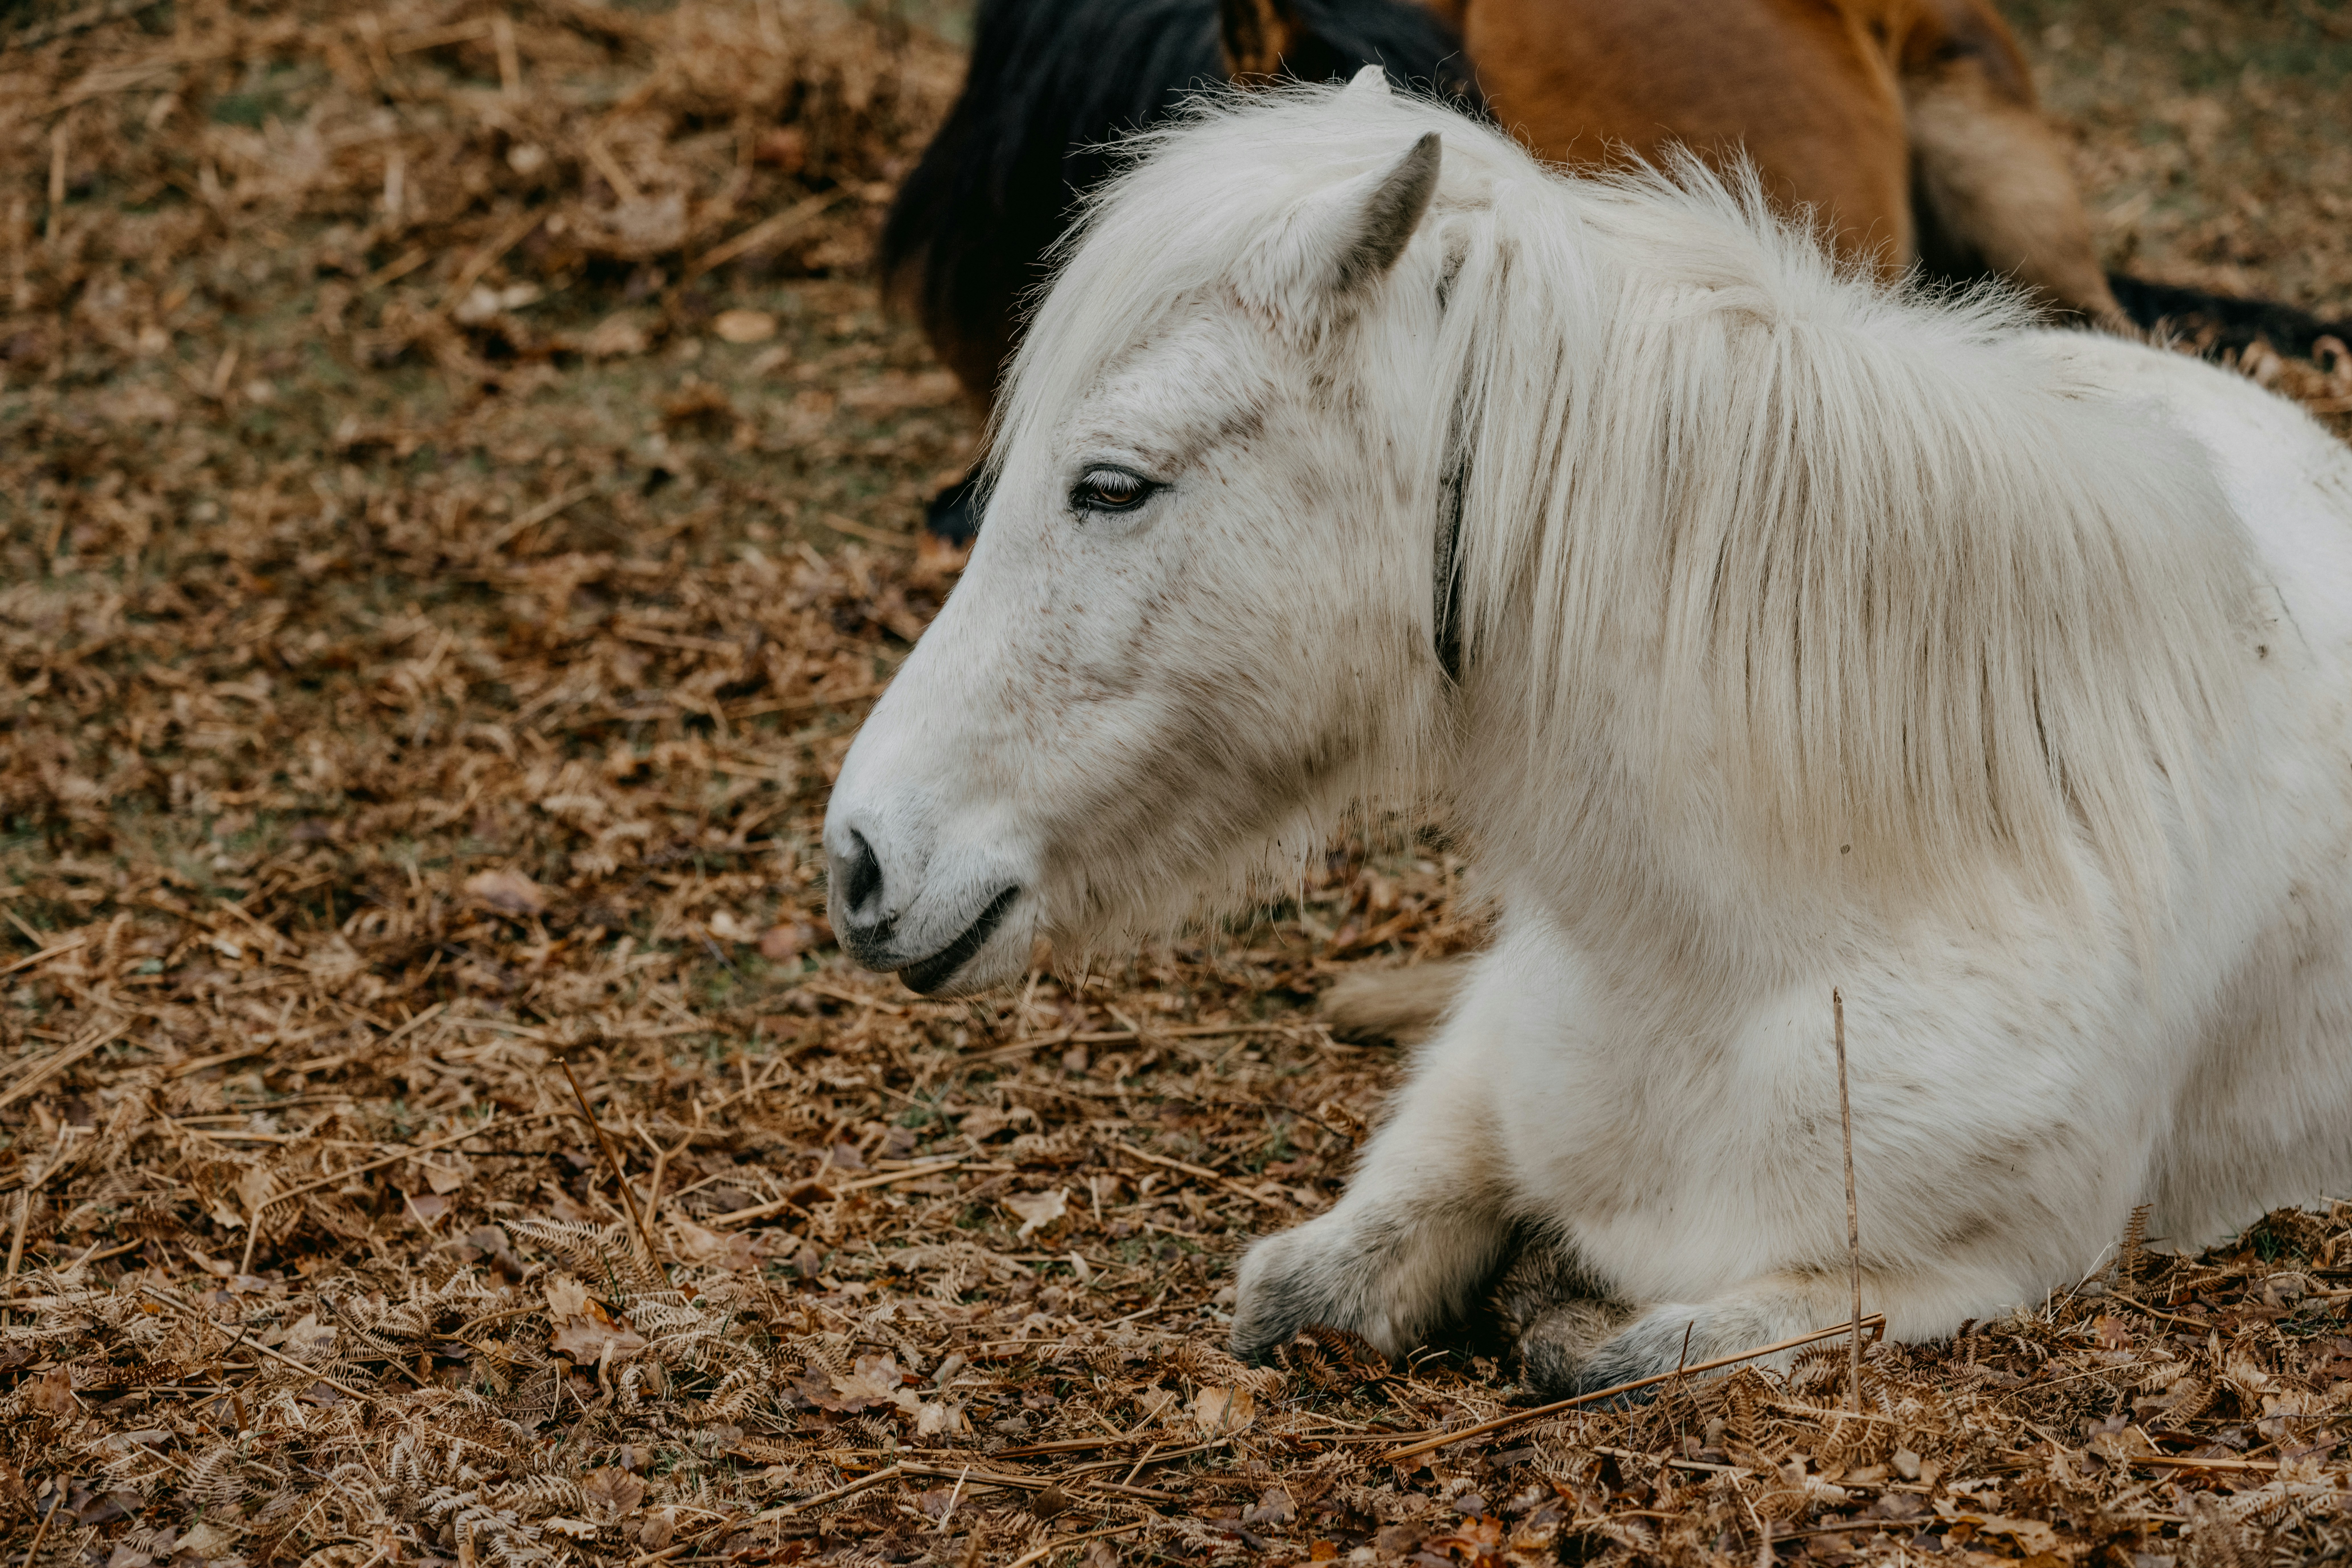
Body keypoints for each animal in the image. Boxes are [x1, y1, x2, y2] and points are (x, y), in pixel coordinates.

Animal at [824, 71, 2352, 1393]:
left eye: (1111, 485)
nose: (858, 860)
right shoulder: (1479, 1084)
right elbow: (1317, 1282)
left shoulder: (1966, 1269)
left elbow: (1617, 1357)